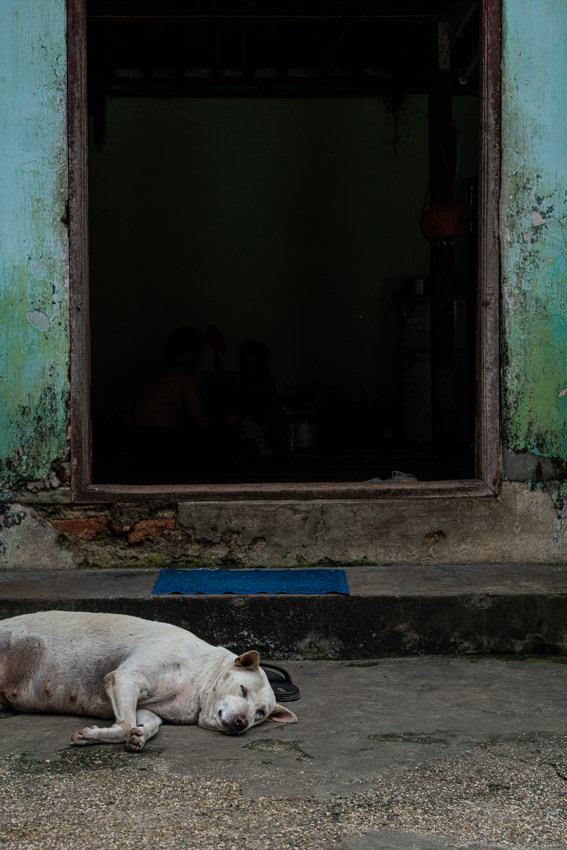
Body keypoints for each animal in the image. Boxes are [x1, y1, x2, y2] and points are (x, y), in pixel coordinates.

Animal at [0, 608, 300, 748]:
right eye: (242, 690)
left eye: (260, 714)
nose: (241, 723)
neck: (198, 679)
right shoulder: (124, 679)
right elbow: (124, 725)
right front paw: (92, 736)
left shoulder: (149, 710)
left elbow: (144, 725)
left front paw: (139, 736)